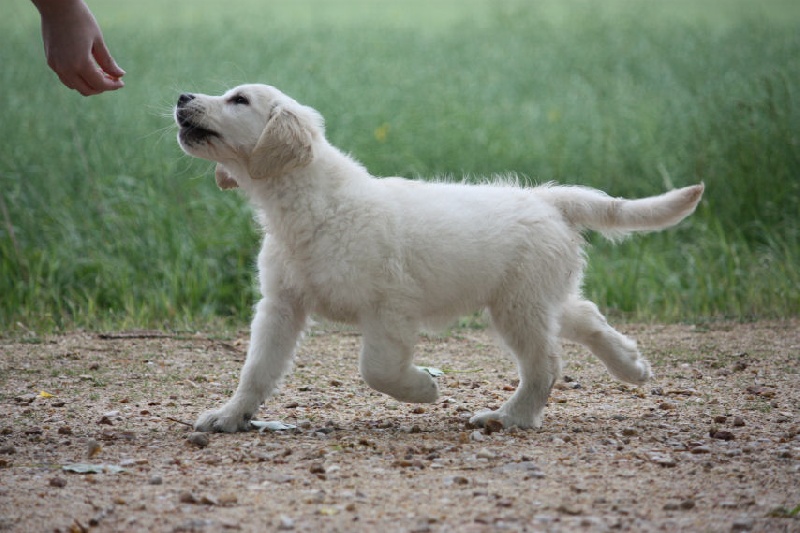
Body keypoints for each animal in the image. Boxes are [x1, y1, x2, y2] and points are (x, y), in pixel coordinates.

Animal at [173, 84, 700, 432]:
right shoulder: (282, 305)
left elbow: (376, 370)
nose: (181, 97)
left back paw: (511, 417)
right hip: (534, 296)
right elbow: (257, 369)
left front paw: (423, 387)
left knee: (545, 364)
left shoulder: (389, 309)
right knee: (586, 315)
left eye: (239, 100)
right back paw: (631, 366)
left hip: (519, 306)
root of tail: (548, 198)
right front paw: (230, 415)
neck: (309, 204)